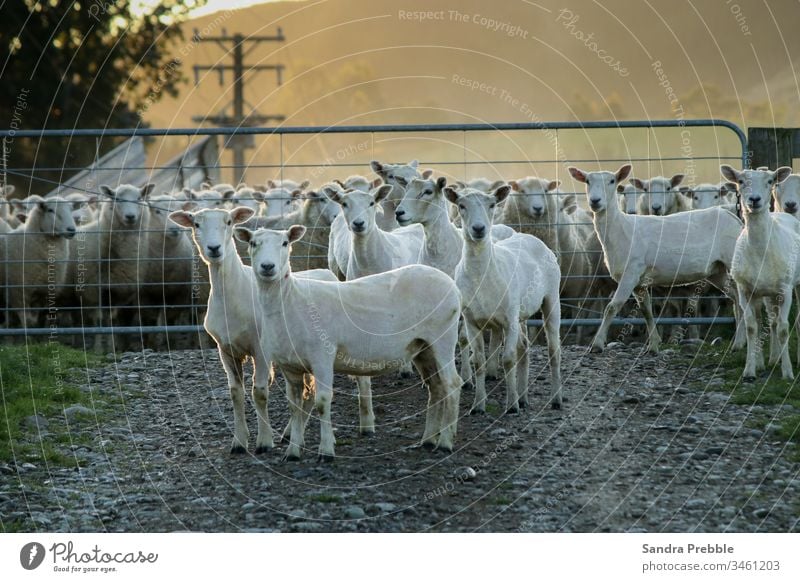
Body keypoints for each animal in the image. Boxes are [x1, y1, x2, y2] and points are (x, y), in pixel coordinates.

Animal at [231, 226, 462, 464]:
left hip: (443, 337)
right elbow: (294, 407)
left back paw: (445, 443)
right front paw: (293, 452)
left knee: (452, 384)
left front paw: (325, 451)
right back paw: (428, 439)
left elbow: (322, 401)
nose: (268, 267)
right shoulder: (290, 366)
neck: (289, 301)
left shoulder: (322, 357)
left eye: (285, 243)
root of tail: (452, 285)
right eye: (253, 243)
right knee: (436, 386)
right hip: (422, 347)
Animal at [444, 187, 564, 416]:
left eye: (492, 205)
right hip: (521, 313)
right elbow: (478, 361)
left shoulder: (509, 318)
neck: (482, 275)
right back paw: (524, 397)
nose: (479, 228)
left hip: (551, 299)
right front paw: (478, 405)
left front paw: (511, 405)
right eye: (461, 206)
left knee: (554, 351)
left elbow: (508, 359)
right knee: (524, 347)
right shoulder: (471, 320)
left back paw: (556, 400)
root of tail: (530, 237)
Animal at [568, 165, 744, 356]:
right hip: (716, 270)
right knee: (736, 296)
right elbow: (647, 311)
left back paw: (741, 342)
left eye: (612, 181)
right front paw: (653, 345)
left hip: (732, 259)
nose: (595, 201)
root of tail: (733, 217)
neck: (621, 229)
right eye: (587, 181)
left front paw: (597, 344)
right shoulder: (639, 282)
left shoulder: (631, 272)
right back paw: (739, 343)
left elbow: (612, 307)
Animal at [720, 167, 800, 380]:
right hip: (764, 293)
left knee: (785, 322)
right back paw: (769, 360)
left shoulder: (785, 290)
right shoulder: (744, 290)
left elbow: (783, 328)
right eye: (740, 181)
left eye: (770, 181)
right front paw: (750, 370)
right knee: (767, 321)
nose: (754, 199)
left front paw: (788, 373)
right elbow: (751, 327)